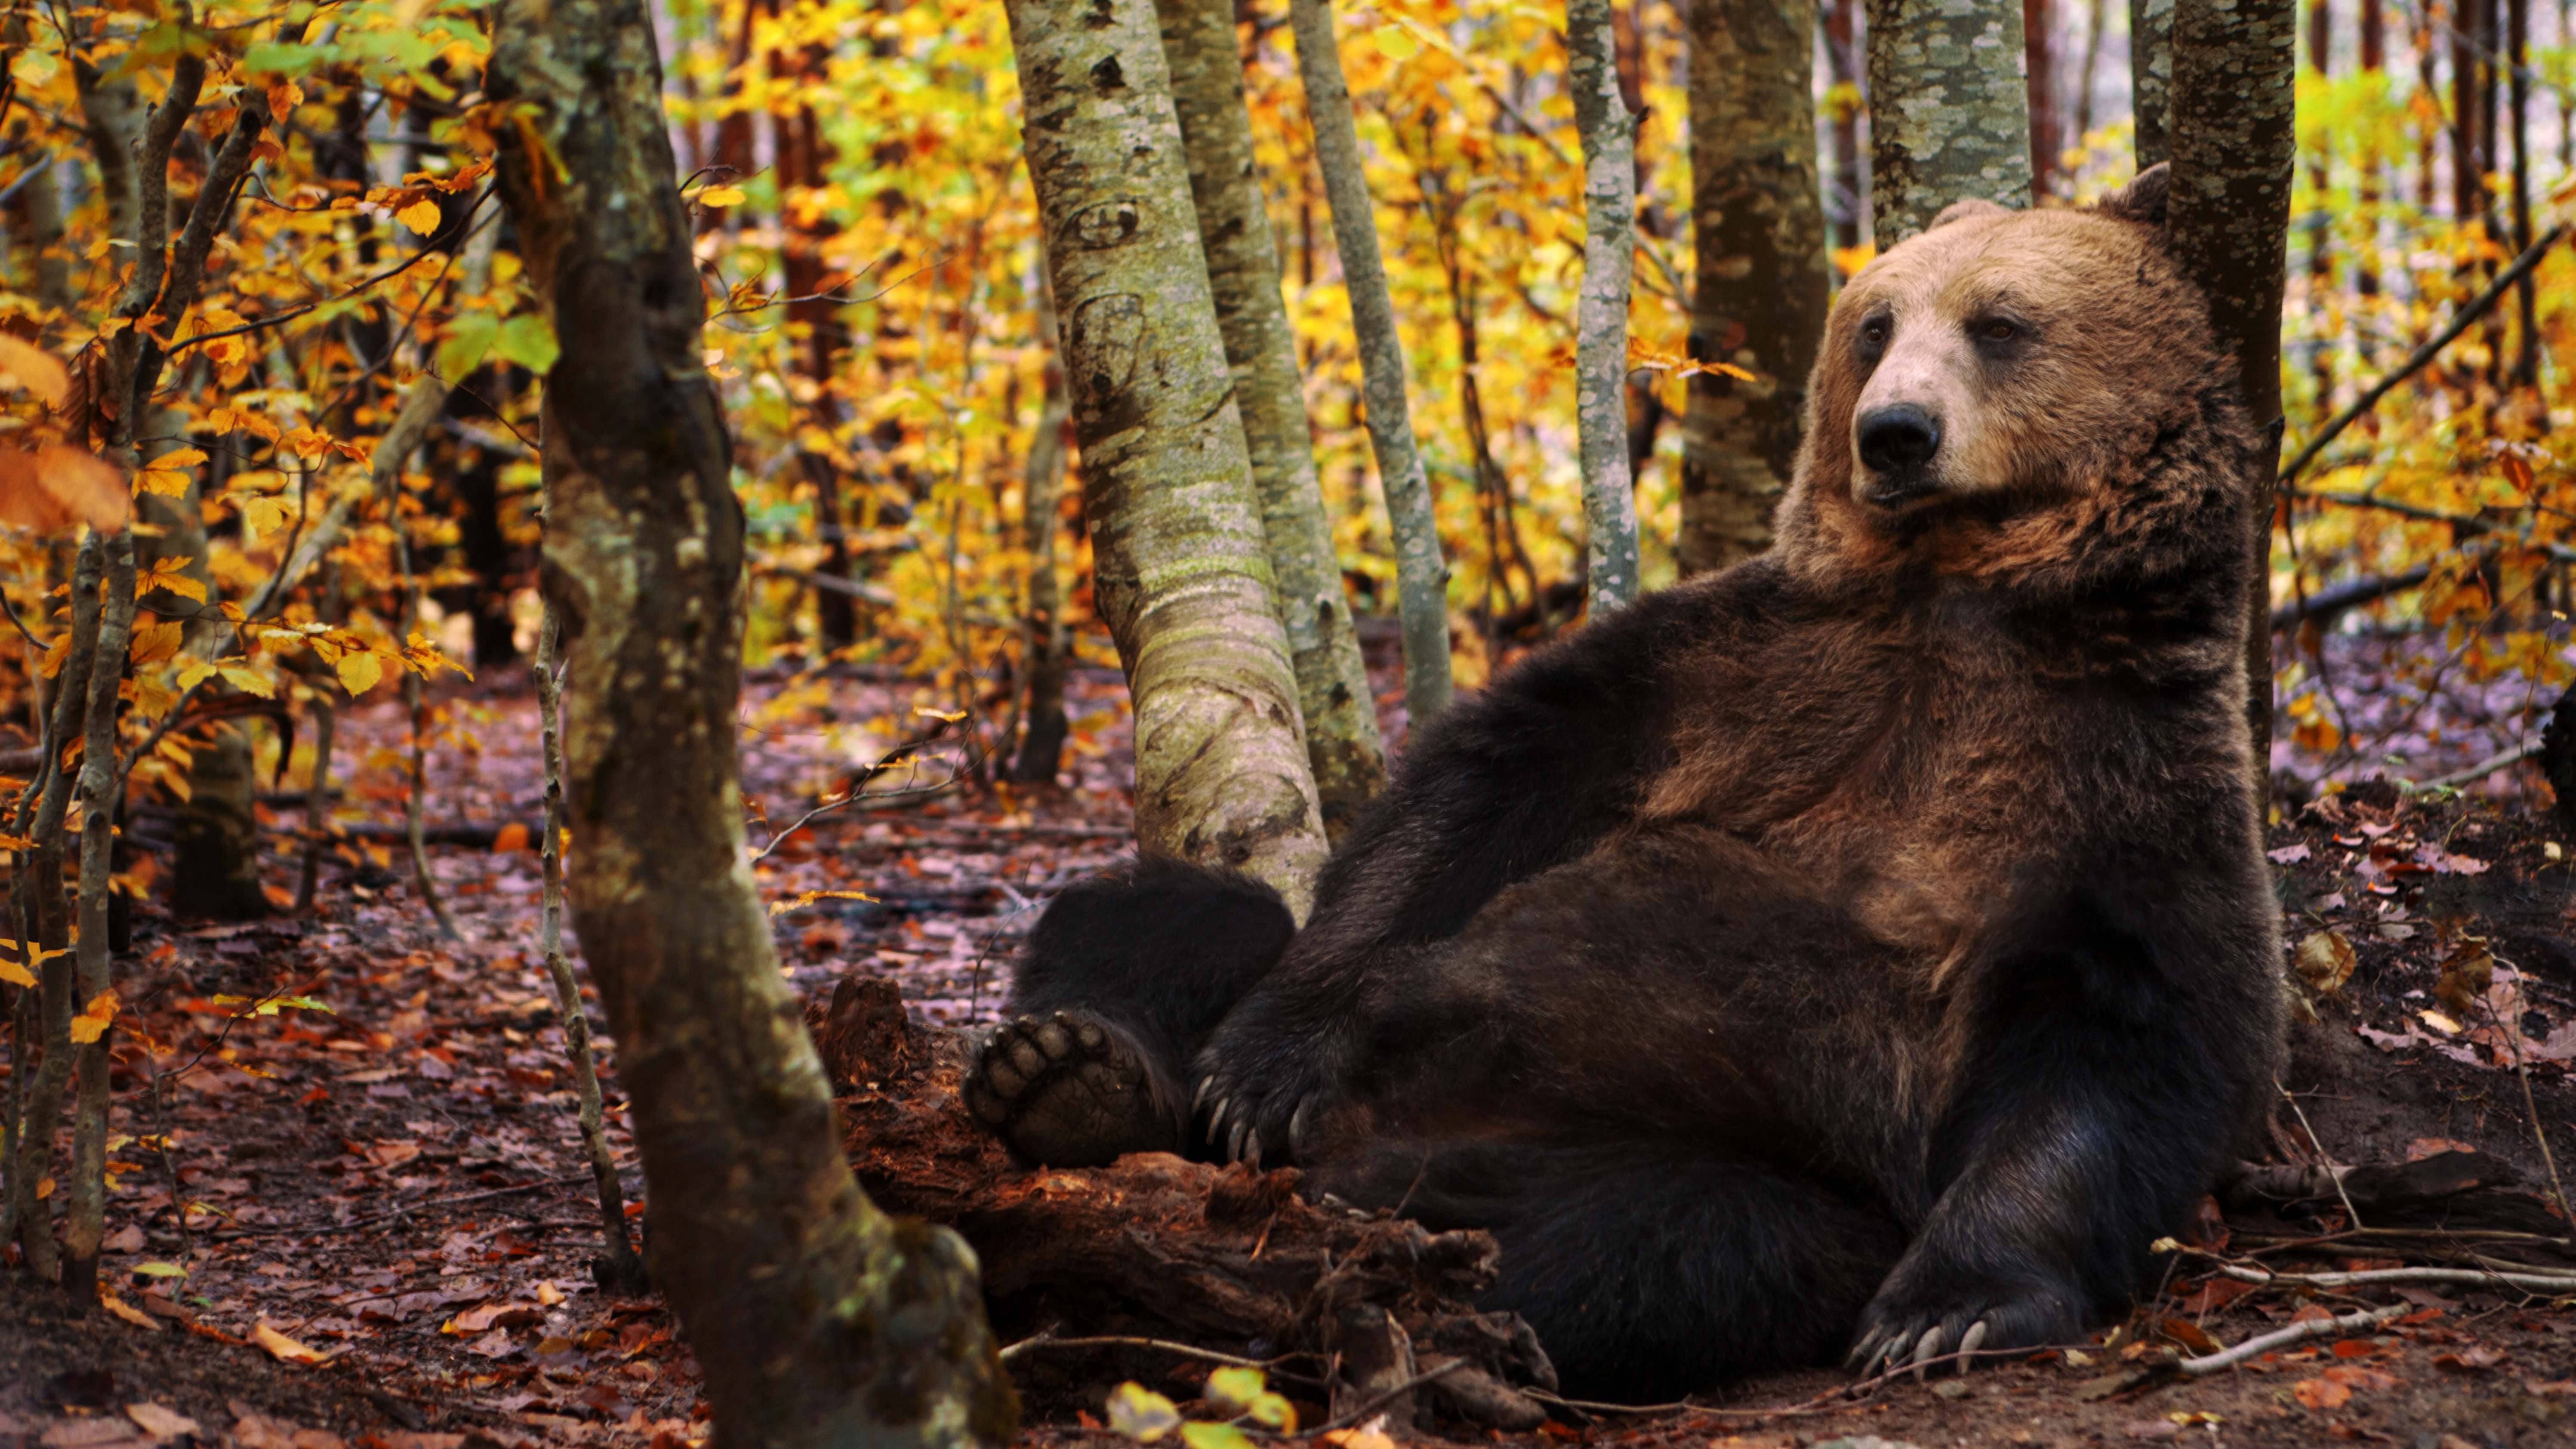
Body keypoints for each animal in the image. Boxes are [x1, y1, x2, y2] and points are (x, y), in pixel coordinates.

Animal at [963, 164, 2287, 1402]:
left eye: (1999, 322)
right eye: (1875, 324)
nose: (1895, 433)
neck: (1958, 592)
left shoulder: (2112, 765)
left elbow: (2124, 1033)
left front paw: (1947, 1308)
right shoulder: (1752, 672)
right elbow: (1477, 797)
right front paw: (1256, 1071)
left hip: (1700, 1152)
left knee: (1660, 1240)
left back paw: (1407, 1287)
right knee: (1176, 912)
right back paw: (1077, 1076)